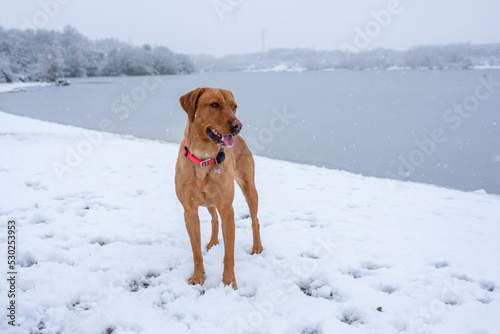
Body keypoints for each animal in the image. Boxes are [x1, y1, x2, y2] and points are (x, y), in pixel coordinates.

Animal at [175, 87, 264, 288]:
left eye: (234, 106)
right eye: (214, 104)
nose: (238, 125)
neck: (204, 158)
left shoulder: (227, 209)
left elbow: (229, 253)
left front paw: (229, 282)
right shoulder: (189, 211)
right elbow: (196, 250)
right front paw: (198, 277)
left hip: (249, 188)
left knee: (255, 220)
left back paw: (257, 247)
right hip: (209, 202)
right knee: (214, 218)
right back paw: (213, 241)